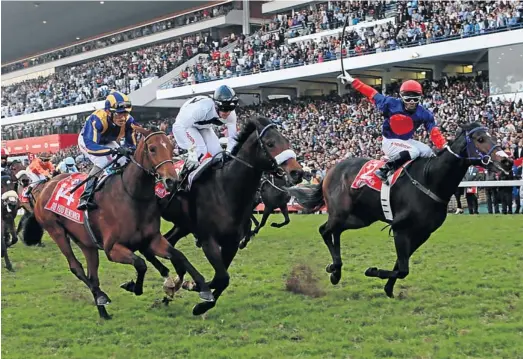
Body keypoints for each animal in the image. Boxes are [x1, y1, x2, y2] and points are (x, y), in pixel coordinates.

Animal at [22, 129, 212, 320]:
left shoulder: (152, 239)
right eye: (152, 149)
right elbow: (140, 264)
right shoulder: (112, 249)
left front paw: (203, 288)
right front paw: (133, 287)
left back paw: (103, 311)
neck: (132, 196)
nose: (172, 181)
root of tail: (45, 187)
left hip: (86, 242)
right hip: (56, 231)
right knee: (76, 267)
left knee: (93, 275)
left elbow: (179, 255)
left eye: (172, 147)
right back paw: (101, 296)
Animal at [147, 116, 302, 316]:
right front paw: (197, 289)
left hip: (182, 225)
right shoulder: (208, 240)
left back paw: (173, 285)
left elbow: (222, 279)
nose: (297, 172)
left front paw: (200, 301)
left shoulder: (231, 243)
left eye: (287, 141)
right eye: (270, 143)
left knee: (168, 242)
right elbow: (221, 277)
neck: (226, 189)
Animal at [286, 124, 512, 298]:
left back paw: (336, 269)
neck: (430, 179)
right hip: (341, 212)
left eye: (492, 135)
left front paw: (387, 288)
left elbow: (401, 266)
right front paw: (373, 271)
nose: (507, 161)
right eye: (480, 139)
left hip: (360, 218)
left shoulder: (422, 233)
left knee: (336, 232)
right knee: (325, 230)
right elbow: (403, 267)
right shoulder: (401, 229)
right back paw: (335, 270)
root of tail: (331, 169)